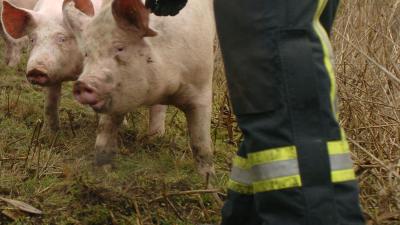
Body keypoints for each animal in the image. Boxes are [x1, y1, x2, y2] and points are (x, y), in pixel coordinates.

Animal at [1, 0, 167, 135]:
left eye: (62, 38)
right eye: (32, 39)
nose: (36, 70)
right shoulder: (54, 76)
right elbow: (50, 104)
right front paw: (49, 134)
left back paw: (154, 137)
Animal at [63, 0, 216, 177]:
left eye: (120, 48)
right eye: (87, 53)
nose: (81, 84)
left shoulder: (201, 87)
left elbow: (201, 142)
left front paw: (208, 180)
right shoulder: (117, 94)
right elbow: (105, 130)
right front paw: (102, 171)